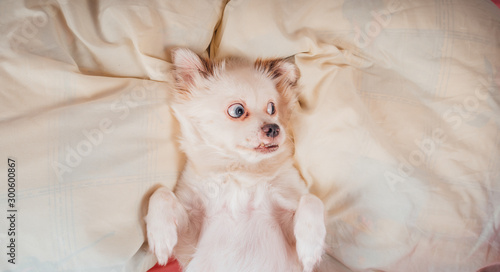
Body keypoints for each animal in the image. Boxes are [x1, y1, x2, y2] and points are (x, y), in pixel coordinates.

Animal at [145, 49, 326, 272]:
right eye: (237, 111)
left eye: (272, 108)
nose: (274, 128)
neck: (240, 170)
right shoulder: (189, 241)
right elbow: (160, 193)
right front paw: (160, 236)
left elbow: (311, 199)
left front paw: (311, 245)